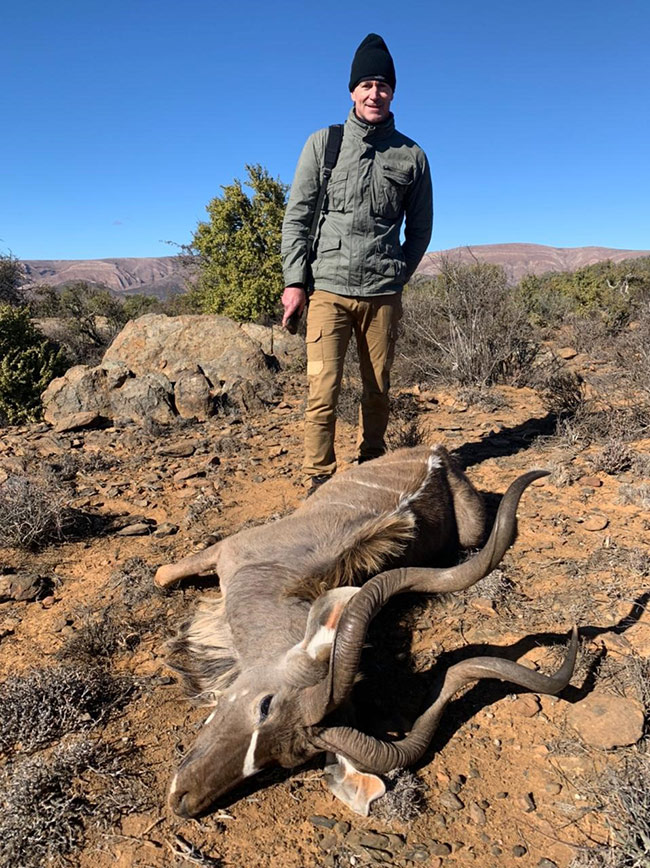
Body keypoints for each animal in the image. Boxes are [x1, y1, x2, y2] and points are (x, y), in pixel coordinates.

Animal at [156, 444, 572, 816]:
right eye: (265, 704)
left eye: (283, 761)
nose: (184, 801)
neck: (276, 583)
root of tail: (436, 453)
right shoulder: (226, 549)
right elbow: (161, 574)